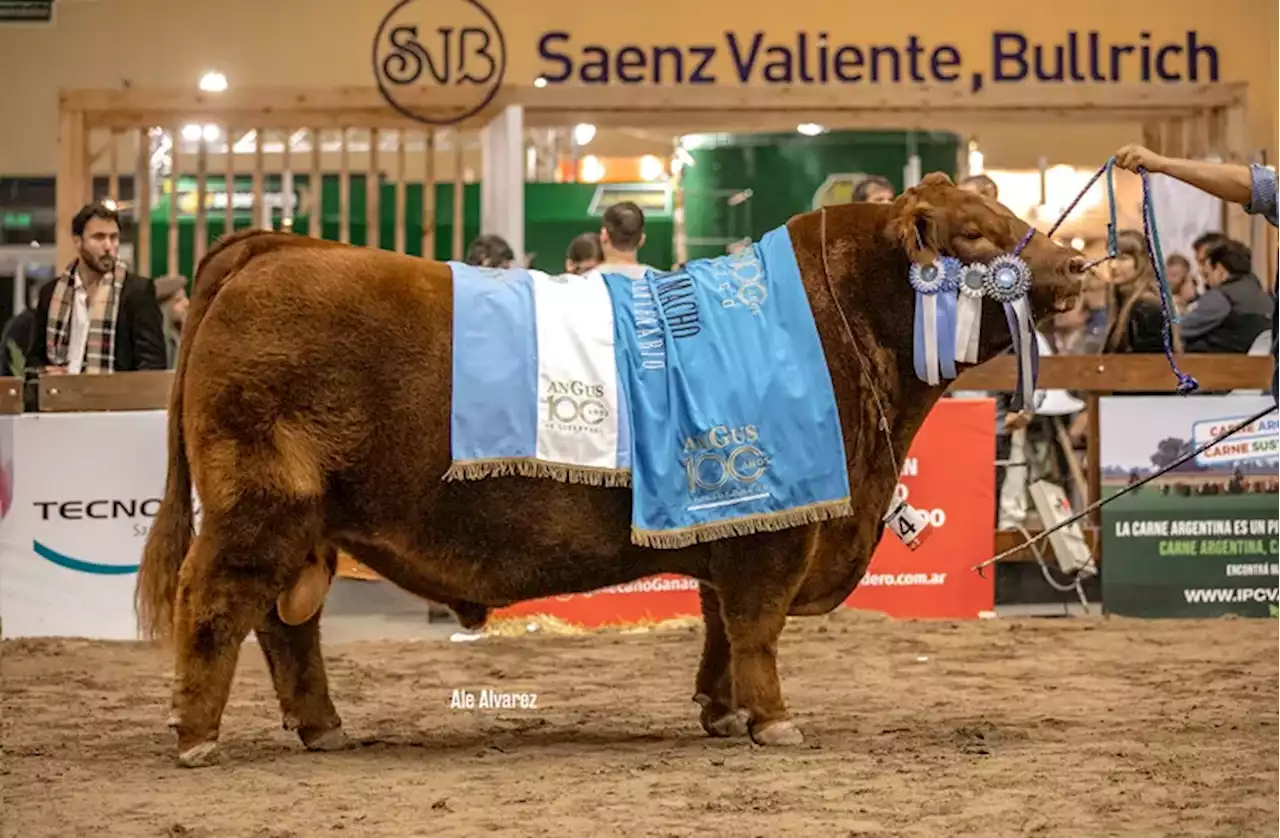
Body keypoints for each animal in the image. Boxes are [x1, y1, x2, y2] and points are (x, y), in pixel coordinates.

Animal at [137, 172, 1080, 767]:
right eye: (973, 234)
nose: (1075, 262)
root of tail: (277, 246)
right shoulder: (775, 533)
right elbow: (757, 628)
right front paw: (774, 722)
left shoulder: (732, 529)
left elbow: (718, 628)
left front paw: (721, 713)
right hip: (257, 508)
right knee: (216, 605)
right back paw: (194, 735)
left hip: (304, 527)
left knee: (286, 627)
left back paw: (323, 728)